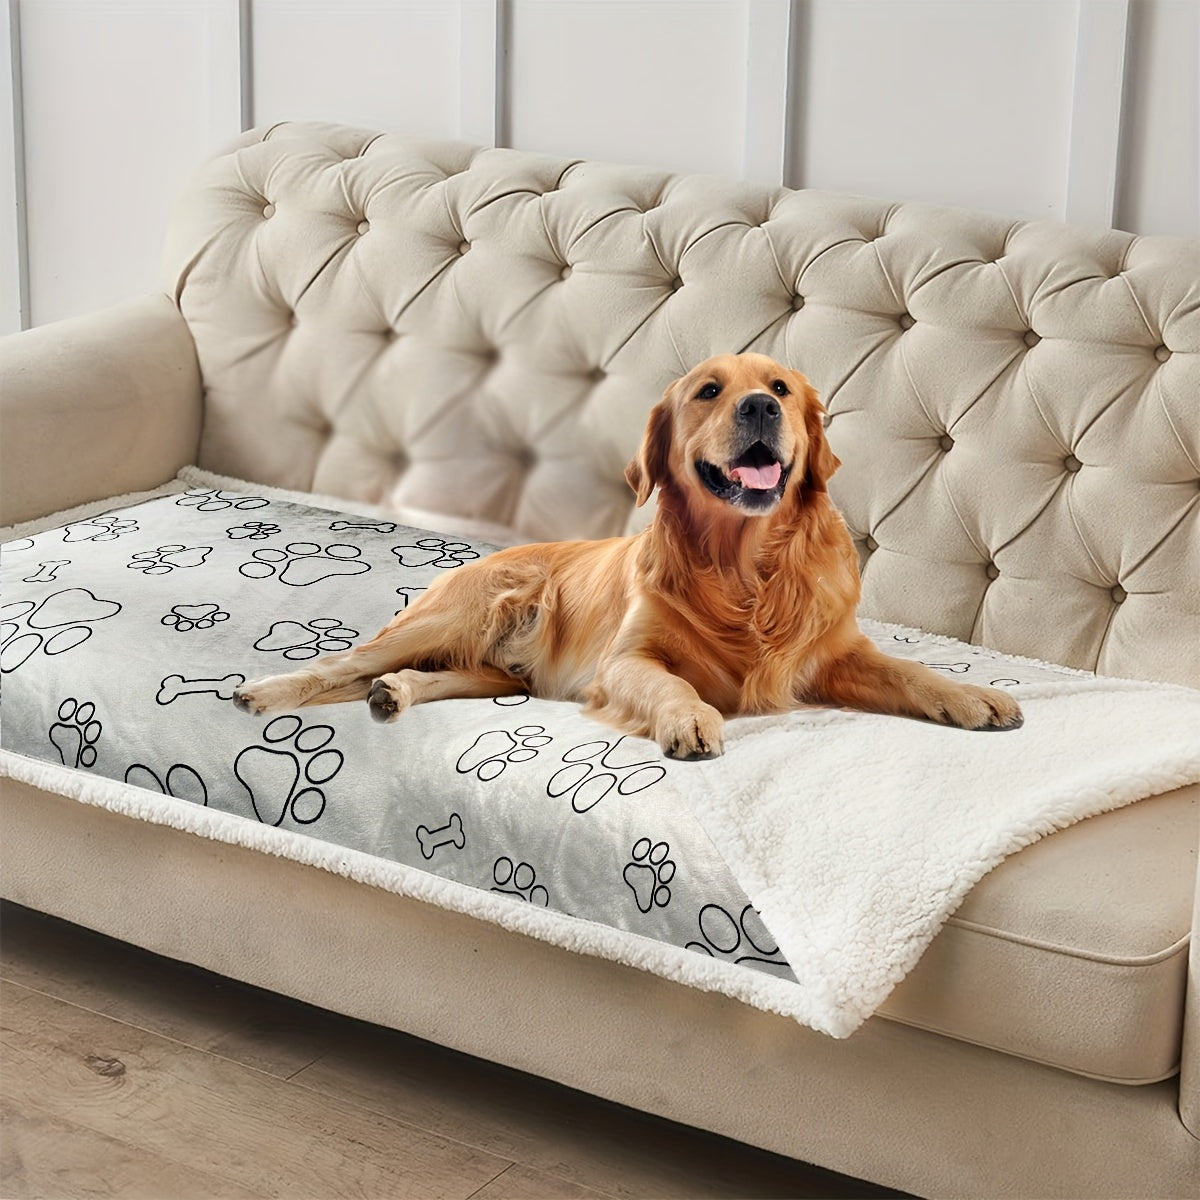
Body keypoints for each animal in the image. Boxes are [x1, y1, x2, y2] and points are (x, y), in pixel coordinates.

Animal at [236, 350, 1022, 753]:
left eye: (780, 388)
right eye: (709, 390)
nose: (760, 407)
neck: (745, 568)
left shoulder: (833, 653)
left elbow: (910, 671)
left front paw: (976, 697)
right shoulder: (625, 661)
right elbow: (670, 685)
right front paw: (689, 721)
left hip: (497, 673)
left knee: (423, 676)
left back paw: (394, 693)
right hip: (455, 617)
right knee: (345, 662)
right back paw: (263, 691)